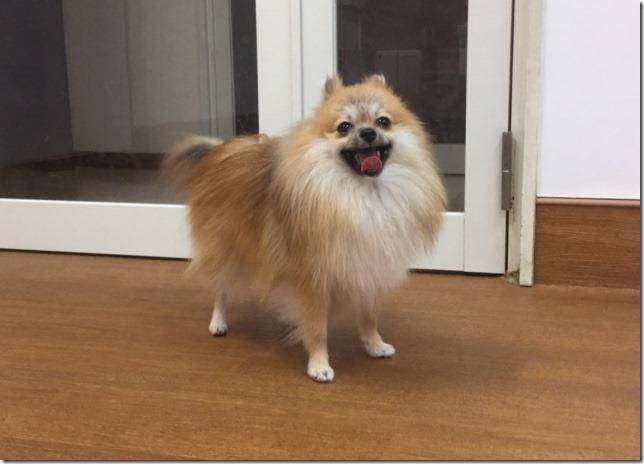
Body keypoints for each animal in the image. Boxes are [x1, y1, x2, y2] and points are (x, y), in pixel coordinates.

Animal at [165, 75, 445, 382]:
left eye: (383, 121)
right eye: (344, 127)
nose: (368, 133)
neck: (363, 196)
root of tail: (218, 151)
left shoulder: (368, 267)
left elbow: (369, 316)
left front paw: (374, 345)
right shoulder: (311, 279)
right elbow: (317, 328)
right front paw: (319, 365)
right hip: (226, 250)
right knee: (220, 288)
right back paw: (218, 322)